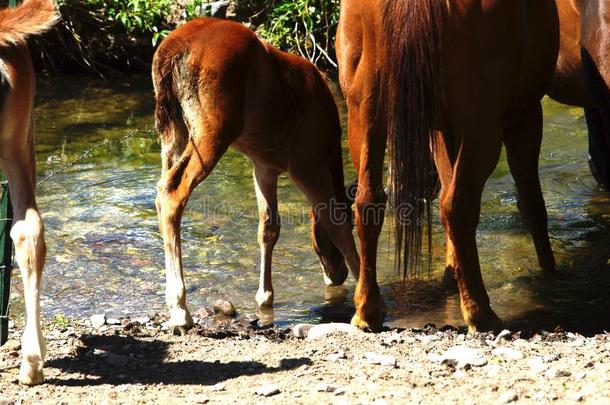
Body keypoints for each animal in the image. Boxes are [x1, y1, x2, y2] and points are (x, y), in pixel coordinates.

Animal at [153, 17, 360, 332]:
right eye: (353, 220)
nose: (337, 274)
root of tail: (171, 51)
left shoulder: (264, 166)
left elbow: (268, 228)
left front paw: (265, 299)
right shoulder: (307, 165)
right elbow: (334, 223)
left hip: (172, 130)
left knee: (162, 188)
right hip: (213, 132)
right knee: (172, 193)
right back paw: (179, 308)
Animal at [334, 0, 560, 332]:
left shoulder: (441, 127)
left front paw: (453, 270)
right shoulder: (525, 114)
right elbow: (532, 204)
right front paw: (550, 271)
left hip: (364, 112)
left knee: (369, 202)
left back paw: (367, 310)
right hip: (482, 126)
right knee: (458, 206)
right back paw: (480, 312)